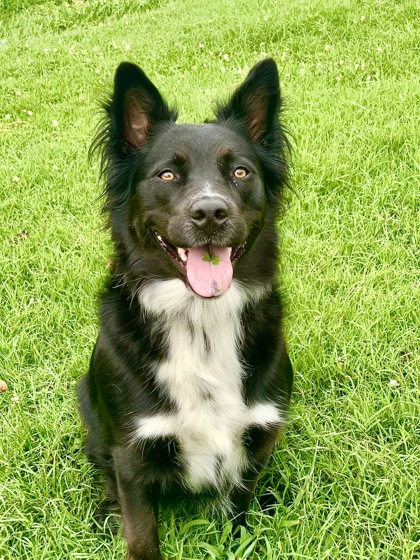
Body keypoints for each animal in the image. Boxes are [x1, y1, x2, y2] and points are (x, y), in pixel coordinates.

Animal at [78, 58, 293, 560]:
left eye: (240, 173)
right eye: (167, 176)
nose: (210, 213)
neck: (201, 320)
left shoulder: (255, 439)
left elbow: (237, 513)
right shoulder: (131, 454)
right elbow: (141, 534)